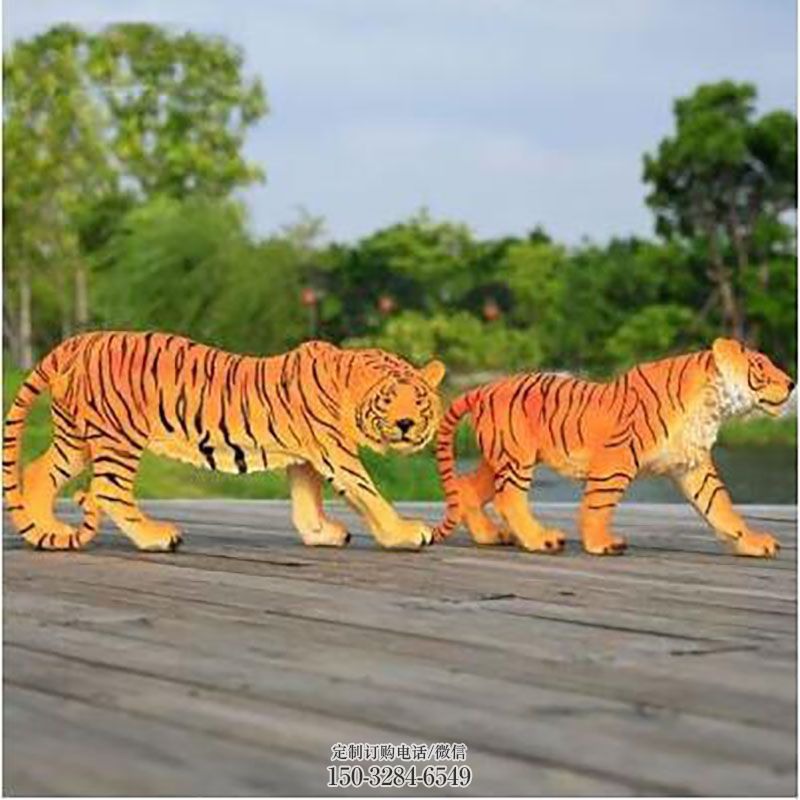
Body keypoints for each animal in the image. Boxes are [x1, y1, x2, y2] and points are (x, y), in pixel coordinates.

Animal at [3, 332, 445, 552]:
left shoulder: (305, 457)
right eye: (388, 399)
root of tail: (77, 342)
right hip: (118, 437)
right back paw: (156, 537)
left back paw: (50, 534)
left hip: (76, 438)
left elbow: (306, 500)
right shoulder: (334, 452)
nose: (407, 423)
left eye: (419, 401)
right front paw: (406, 533)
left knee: (38, 472)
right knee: (109, 491)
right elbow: (369, 493)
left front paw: (319, 533)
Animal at [433, 338, 793, 558]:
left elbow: (721, 507)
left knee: (467, 487)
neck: (711, 405)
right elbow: (599, 504)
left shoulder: (693, 467)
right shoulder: (616, 460)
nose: (792, 383)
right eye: (762, 367)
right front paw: (601, 544)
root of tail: (484, 387)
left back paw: (490, 536)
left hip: (501, 458)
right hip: (515, 459)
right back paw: (541, 539)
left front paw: (752, 542)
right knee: (508, 499)